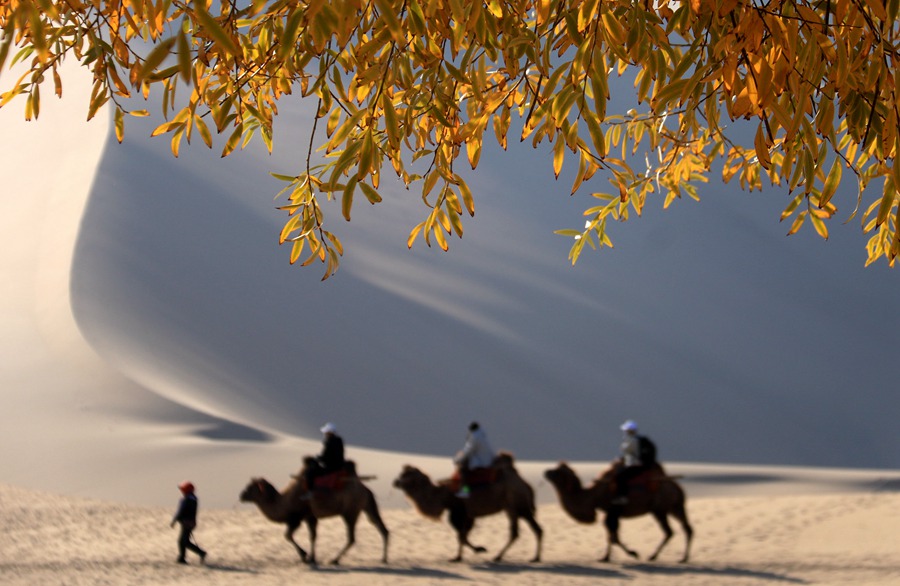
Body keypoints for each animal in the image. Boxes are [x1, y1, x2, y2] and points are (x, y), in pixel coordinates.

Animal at [239, 466, 390, 560]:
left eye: (250, 488)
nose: (241, 495)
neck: (283, 501)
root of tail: (366, 489)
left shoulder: (297, 518)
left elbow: (288, 535)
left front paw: (304, 555)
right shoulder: (309, 517)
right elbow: (313, 536)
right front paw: (312, 557)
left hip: (350, 511)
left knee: (352, 538)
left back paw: (334, 560)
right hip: (366, 506)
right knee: (381, 527)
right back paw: (383, 559)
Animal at [392, 452, 540, 560]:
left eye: (405, 474)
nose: (395, 482)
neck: (442, 495)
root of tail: (525, 484)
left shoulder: (458, 511)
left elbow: (461, 536)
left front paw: (459, 556)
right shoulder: (467, 515)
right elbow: (463, 535)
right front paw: (478, 549)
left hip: (513, 505)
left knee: (515, 532)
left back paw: (498, 556)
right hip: (522, 508)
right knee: (537, 529)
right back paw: (535, 558)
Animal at [540, 460, 696, 560]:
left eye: (558, 472)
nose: (546, 471)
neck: (592, 496)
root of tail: (677, 487)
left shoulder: (612, 511)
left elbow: (613, 536)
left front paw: (632, 553)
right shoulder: (611, 513)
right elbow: (611, 535)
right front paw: (606, 557)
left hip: (660, 509)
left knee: (670, 531)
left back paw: (654, 556)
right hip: (674, 507)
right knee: (686, 528)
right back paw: (683, 558)